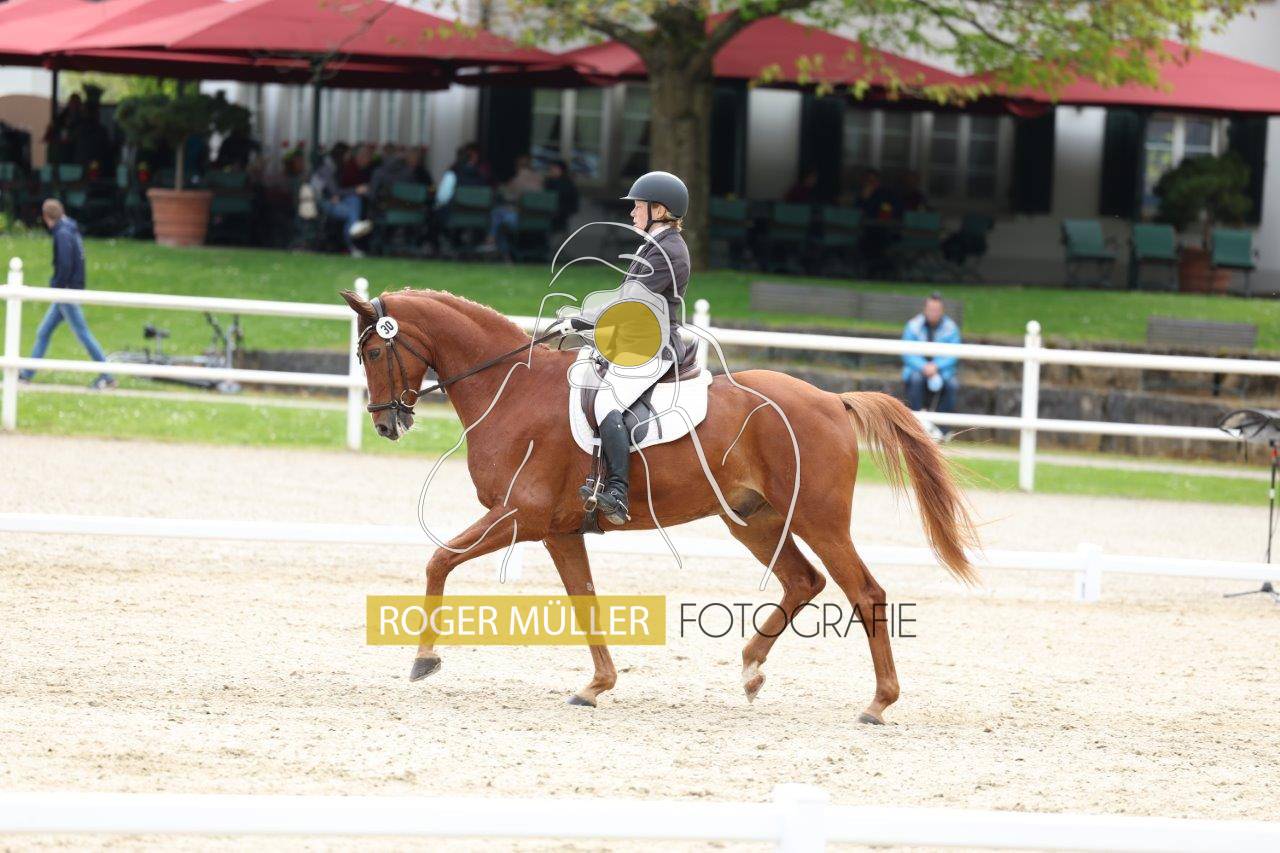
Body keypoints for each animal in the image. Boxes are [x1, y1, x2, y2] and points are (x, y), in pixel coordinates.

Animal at [341, 287, 978, 724]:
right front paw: (596, 686)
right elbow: (586, 602)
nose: (386, 423)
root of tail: (831, 399)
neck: (511, 389)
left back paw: (878, 703)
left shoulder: (520, 516)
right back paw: (751, 668)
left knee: (865, 593)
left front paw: (425, 659)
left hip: (819, 520)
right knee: (803, 581)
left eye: (371, 351)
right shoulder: (557, 531)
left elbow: (439, 560)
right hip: (752, 519)